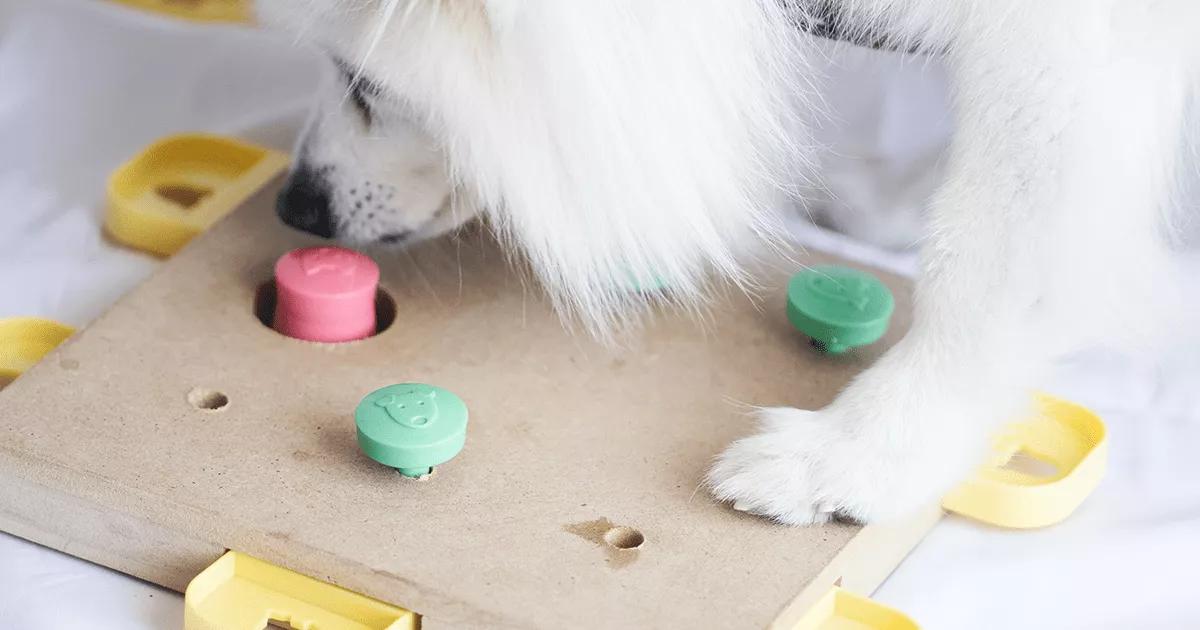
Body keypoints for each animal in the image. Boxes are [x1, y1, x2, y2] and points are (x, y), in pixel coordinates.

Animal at [258, 0, 1200, 520]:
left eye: (365, 84)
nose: (296, 206)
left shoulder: (1087, 37)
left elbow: (989, 249)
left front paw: (864, 449)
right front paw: (889, 202)